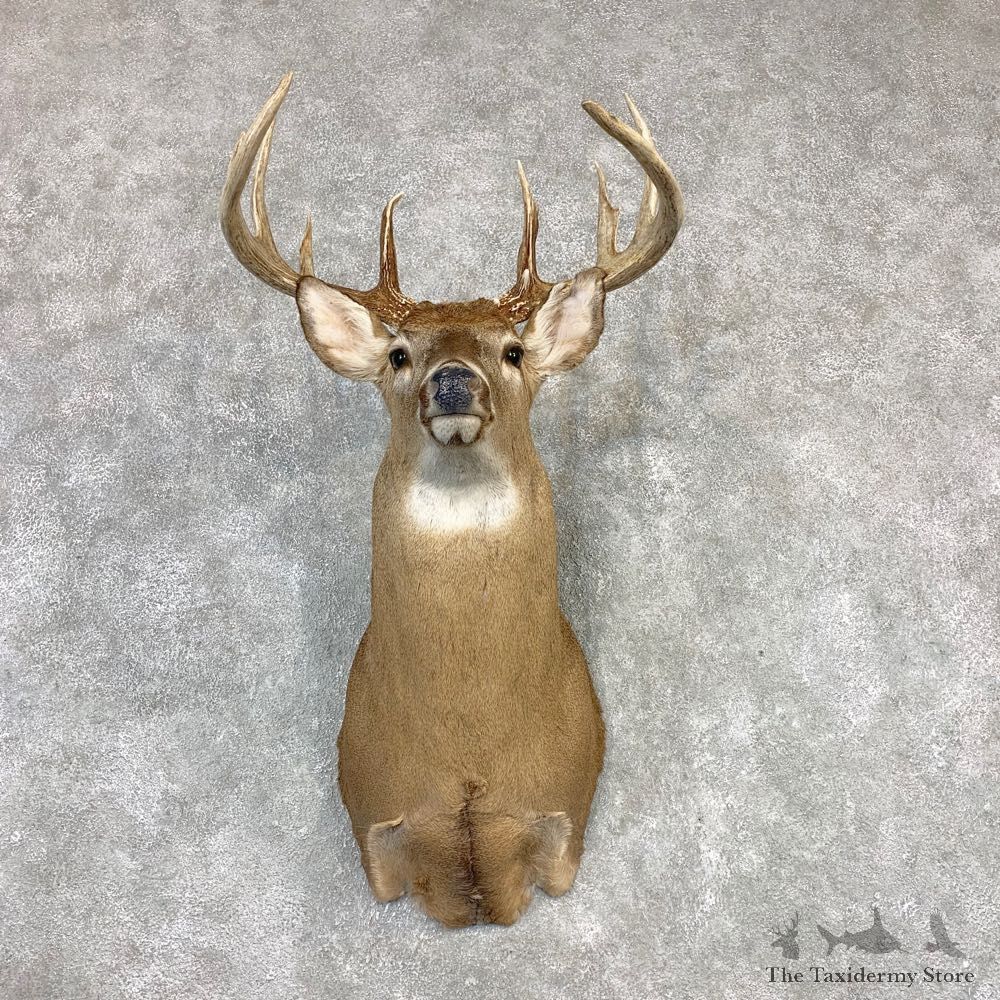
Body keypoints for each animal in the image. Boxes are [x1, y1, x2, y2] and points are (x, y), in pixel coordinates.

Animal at [219, 73, 683, 927]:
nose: (455, 381)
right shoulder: (372, 804)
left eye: (514, 351)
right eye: (400, 355)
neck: (467, 747)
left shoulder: (565, 805)